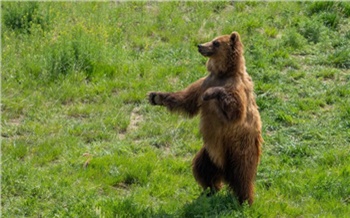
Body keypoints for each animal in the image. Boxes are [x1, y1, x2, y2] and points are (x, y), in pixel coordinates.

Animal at [148, 31, 262, 205]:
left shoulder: (236, 87)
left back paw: (244, 200)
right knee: (202, 168)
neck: (223, 73)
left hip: (239, 149)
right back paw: (210, 190)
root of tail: (224, 171)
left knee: (243, 175)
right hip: (210, 153)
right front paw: (155, 96)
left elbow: (236, 111)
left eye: (216, 42)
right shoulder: (204, 82)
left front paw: (211, 93)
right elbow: (186, 100)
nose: (200, 45)